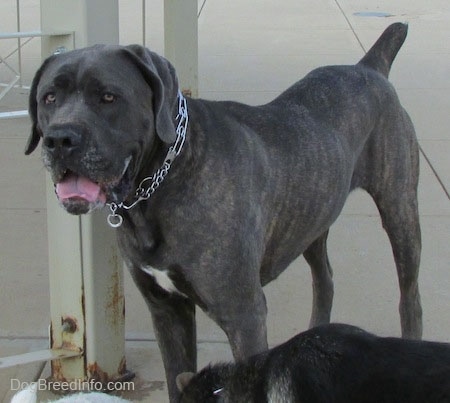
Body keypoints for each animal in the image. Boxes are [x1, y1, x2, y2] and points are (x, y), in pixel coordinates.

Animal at [26, 23, 422, 402]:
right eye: (49, 97)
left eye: (108, 97)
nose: (59, 139)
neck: (164, 180)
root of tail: (368, 67)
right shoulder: (166, 309)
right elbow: (177, 377)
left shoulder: (244, 315)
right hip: (312, 217)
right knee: (324, 277)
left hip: (400, 210)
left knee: (410, 297)